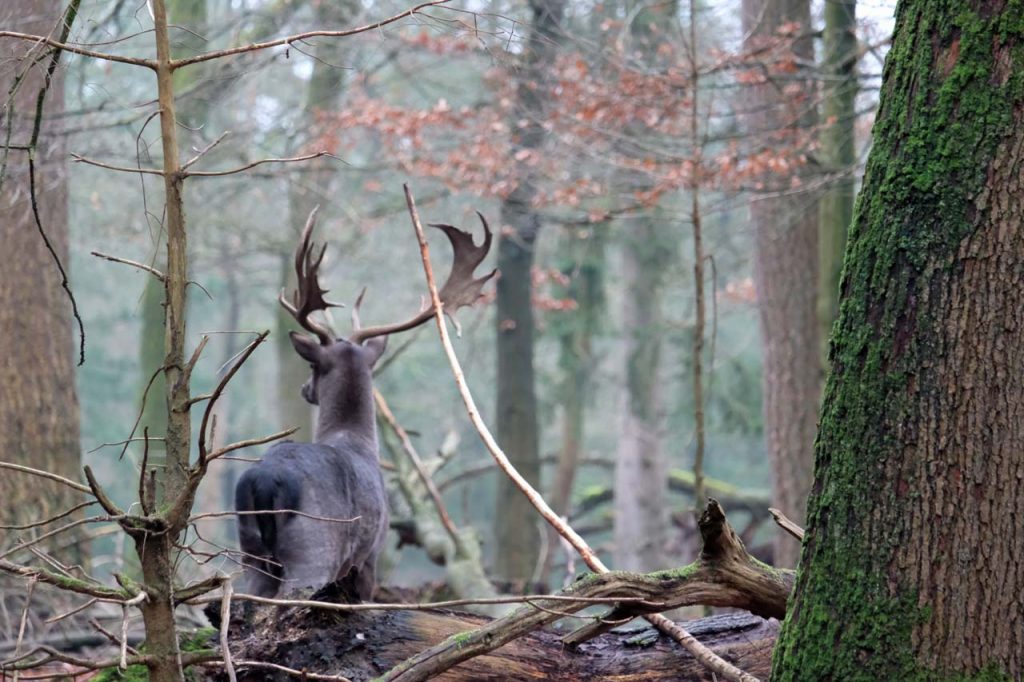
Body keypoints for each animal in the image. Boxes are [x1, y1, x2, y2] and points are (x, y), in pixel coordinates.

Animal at [237, 205, 497, 593]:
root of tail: (265, 481)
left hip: (249, 551)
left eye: (312, 367)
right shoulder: (370, 556)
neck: (357, 440)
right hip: (313, 549)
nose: (304, 389)